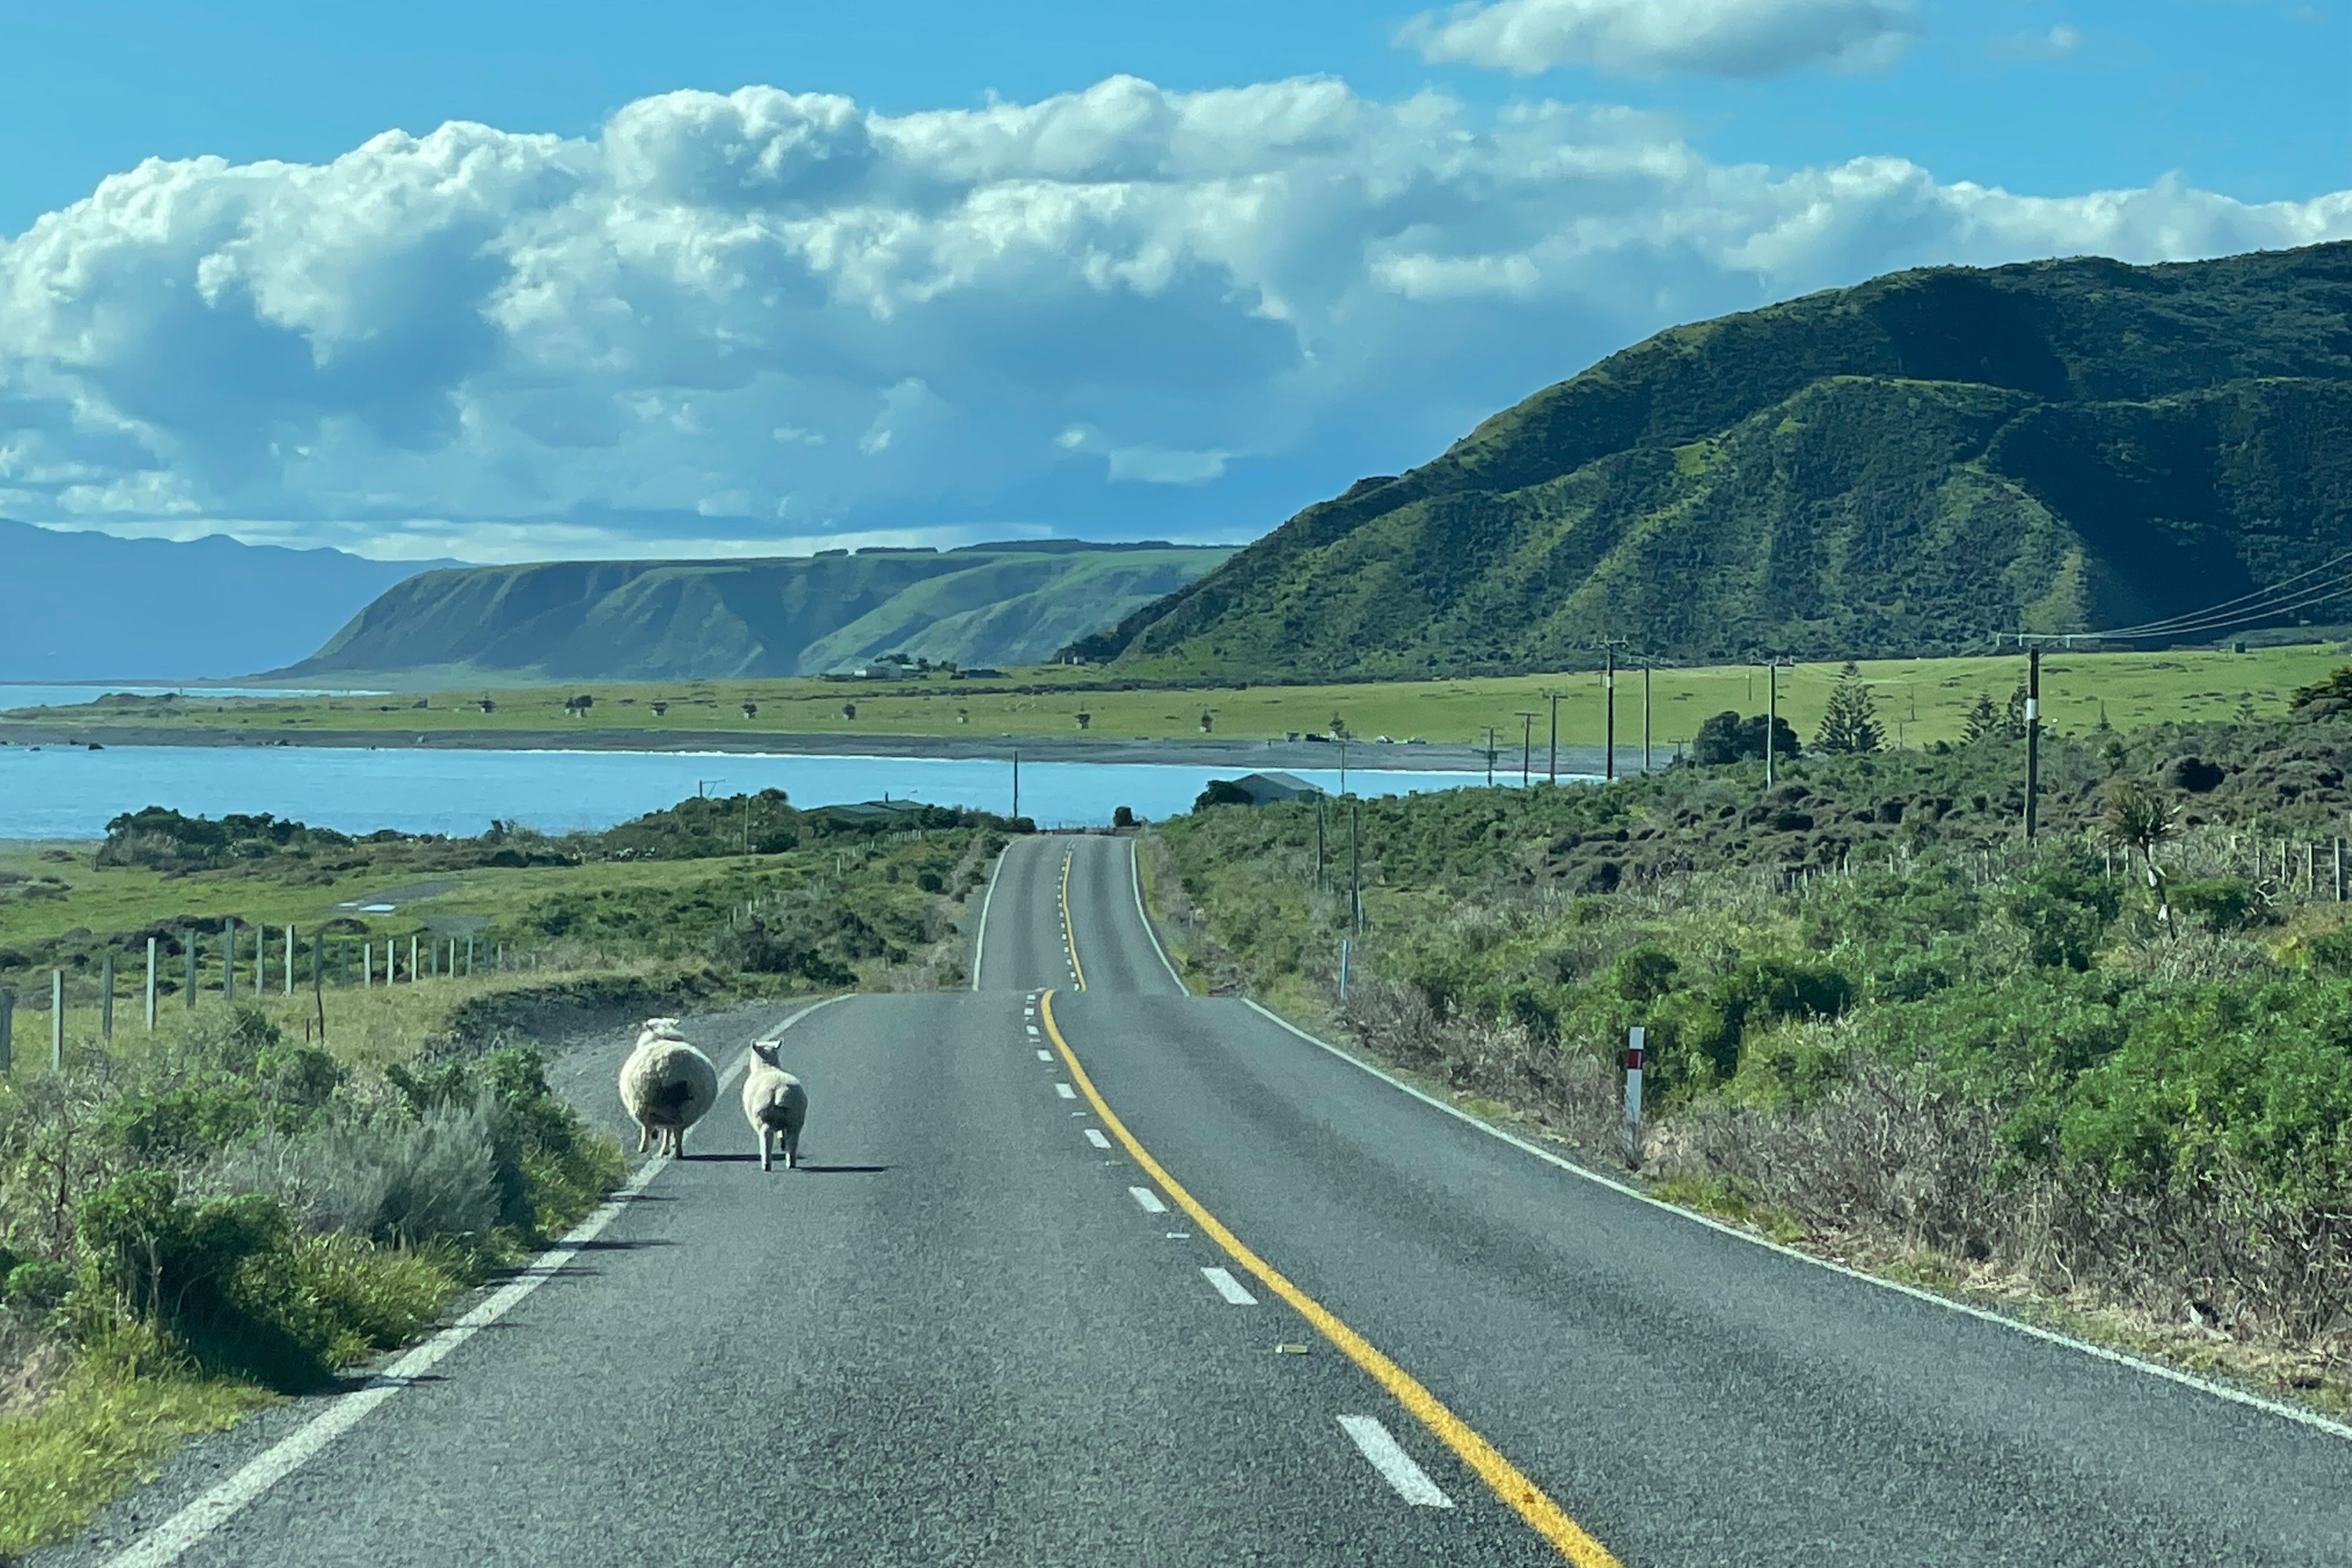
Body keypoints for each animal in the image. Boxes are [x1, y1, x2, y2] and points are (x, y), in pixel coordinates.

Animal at [616, 1025, 715, 1161]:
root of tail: (672, 1068)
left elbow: (648, 1128)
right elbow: (668, 1130)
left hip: (644, 1102)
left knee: (652, 1126)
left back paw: (651, 1147)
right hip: (686, 1109)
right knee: (677, 1130)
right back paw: (676, 1151)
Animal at [743, 1034, 809, 1171]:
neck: (766, 1067)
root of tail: (781, 1089)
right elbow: (782, 1134)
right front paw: (782, 1142)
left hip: (764, 1119)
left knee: (766, 1139)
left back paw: (766, 1164)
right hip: (796, 1119)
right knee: (793, 1141)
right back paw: (791, 1163)